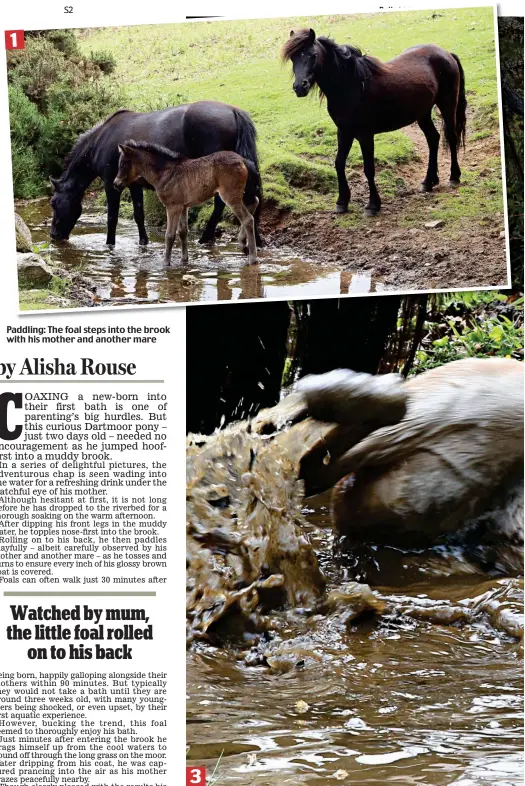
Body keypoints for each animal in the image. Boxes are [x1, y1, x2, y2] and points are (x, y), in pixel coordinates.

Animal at [48, 99, 262, 245]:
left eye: (54, 203)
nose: (54, 235)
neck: (100, 141)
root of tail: (234, 111)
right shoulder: (132, 185)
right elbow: (138, 214)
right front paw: (144, 242)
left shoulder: (111, 185)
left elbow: (112, 218)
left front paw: (110, 244)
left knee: (220, 203)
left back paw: (205, 238)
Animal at [113, 140, 256, 264]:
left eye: (123, 164)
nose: (116, 184)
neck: (165, 173)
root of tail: (243, 160)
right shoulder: (183, 206)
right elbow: (183, 232)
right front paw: (184, 260)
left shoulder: (172, 207)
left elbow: (170, 235)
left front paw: (166, 263)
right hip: (241, 193)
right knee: (254, 202)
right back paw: (244, 246)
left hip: (230, 196)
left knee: (248, 219)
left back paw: (252, 257)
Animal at [282, 29, 466, 214]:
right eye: (293, 58)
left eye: (313, 55)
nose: (300, 87)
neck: (351, 85)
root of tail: (446, 53)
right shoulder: (344, 132)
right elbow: (339, 163)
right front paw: (342, 202)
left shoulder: (365, 135)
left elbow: (369, 168)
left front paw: (373, 204)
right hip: (423, 114)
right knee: (433, 139)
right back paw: (428, 182)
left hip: (447, 105)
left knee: (451, 137)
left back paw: (454, 177)